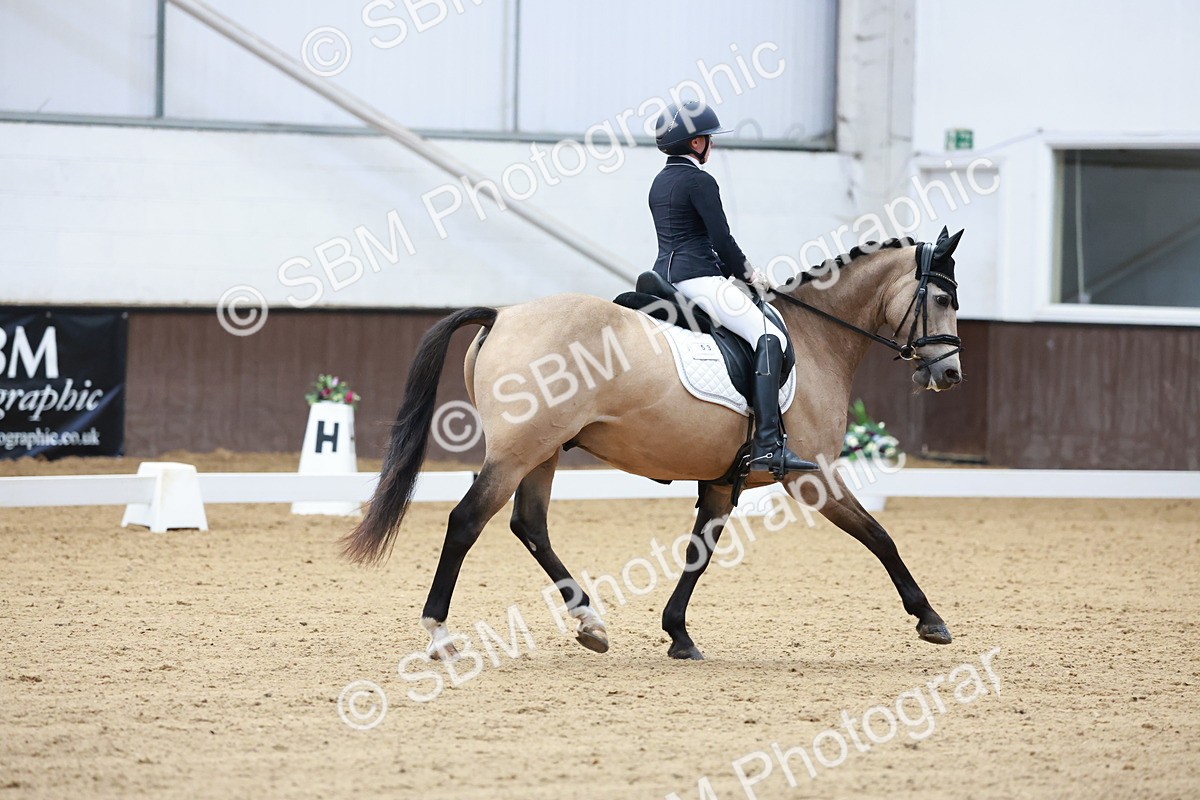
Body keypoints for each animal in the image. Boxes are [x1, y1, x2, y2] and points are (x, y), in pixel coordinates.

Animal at [342, 229, 966, 661]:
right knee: (467, 521)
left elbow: (698, 552)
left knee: (529, 525)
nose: (950, 374)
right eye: (940, 298)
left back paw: (591, 624)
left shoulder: (723, 480)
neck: (816, 340)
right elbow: (880, 536)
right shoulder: (810, 476)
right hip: (518, 452)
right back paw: (440, 635)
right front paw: (930, 619)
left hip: (543, 451)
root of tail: (503, 314)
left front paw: (679, 635)